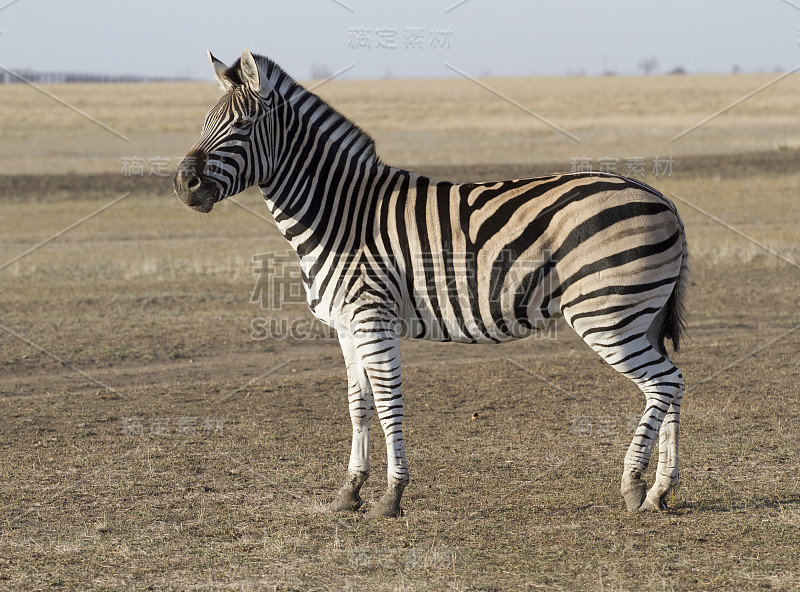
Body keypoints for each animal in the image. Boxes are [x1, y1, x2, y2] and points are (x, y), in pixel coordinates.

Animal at [173, 48, 688, 516]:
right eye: (203, 123)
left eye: (241, 125)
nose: (183, 184)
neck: (341, 215)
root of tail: (661, 197)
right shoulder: (347, 327)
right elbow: (358, 405)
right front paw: (349, 491)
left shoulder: (373, 318)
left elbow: (388, 404)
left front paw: (391, 495)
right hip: (636, 316)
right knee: (673, 383)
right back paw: (660, 492)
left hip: (606, 313)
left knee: (661, 383)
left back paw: (634, 485)